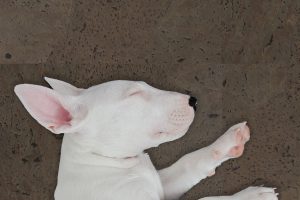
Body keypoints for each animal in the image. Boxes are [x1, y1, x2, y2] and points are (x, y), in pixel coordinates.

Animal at [14, 78, 278, 200]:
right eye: (134, 94)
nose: (193, 100)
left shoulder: (160, 184)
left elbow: (188, 163)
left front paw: (230, 141)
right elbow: (205, 199)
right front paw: (252, 196)